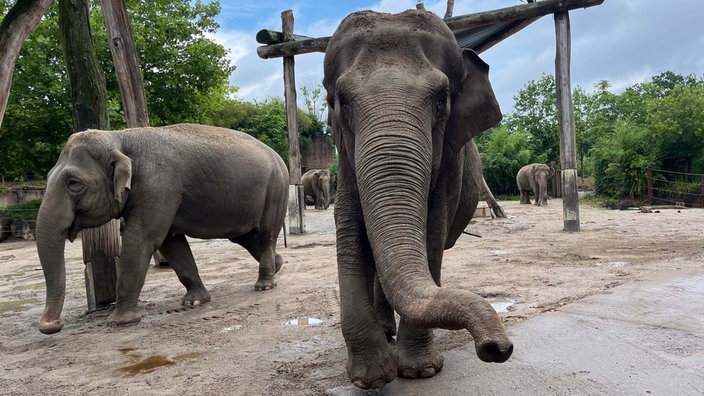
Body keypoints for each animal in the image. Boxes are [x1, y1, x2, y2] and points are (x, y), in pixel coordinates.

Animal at [35, 124, 288, 334]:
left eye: (74, 183)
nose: (52, 326)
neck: (120, 137)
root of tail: (278, 156)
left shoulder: (158, 185)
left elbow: (141, 239)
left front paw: (118, 322)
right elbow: (171, 243)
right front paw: (194, 302)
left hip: (276, 188)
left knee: (265, 234)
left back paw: (264, 286)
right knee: (245, 236)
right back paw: (278, 265)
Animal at [324, 9, 512, 390]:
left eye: (441, 99)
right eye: (343, 101)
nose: (497, 347)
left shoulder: (450, 164)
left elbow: (432, 235)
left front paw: (419, 370)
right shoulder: (346, 162)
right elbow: (349, 230)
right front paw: (370, 377)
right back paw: (386, 332)